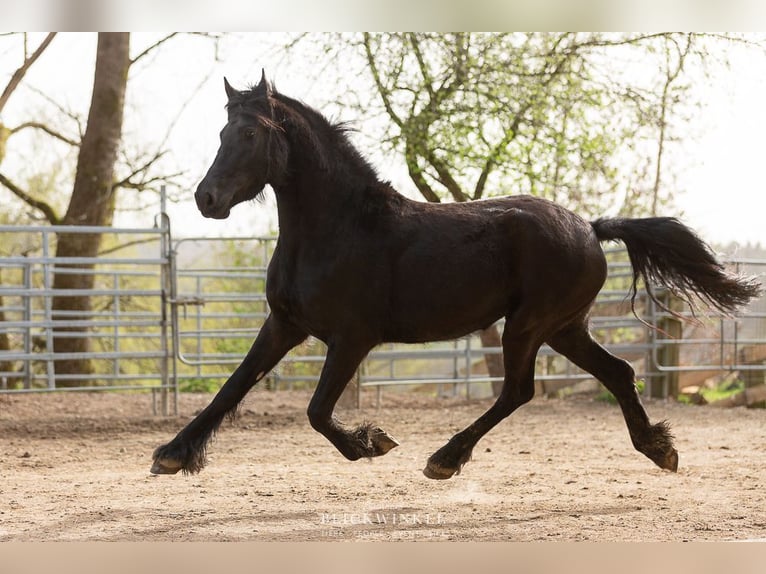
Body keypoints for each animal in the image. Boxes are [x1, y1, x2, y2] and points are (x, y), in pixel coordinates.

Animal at [152, 73, 760, 482]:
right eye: (223, 131)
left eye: (252, 134)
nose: (207, 200)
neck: (338, 226)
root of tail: (589, 226)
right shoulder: (284, 325)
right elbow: (233, 386)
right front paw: (171, 454)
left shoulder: (352, 338)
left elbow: (317, 411)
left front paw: (371, 443)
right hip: (564, 328)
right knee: (617, 372)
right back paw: (659, 449)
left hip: (528, 325)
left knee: (519, 390)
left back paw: (444, 459)